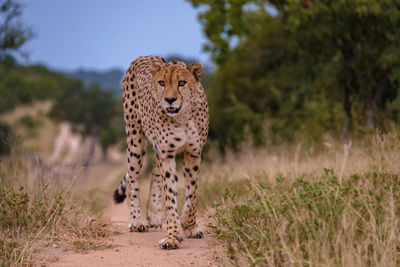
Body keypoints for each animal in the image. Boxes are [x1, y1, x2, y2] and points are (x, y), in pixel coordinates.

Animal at [111, 55, 208, 250]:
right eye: (162, 83)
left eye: (182, 83)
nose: (169, 100)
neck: (183, 117)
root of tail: (143, 57)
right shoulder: (168, 153)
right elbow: (170, 195)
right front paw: (173, 235)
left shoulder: (193, 153)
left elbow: (192, 193)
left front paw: (189, 225)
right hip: (135, 139)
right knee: (133, 179)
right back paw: (136, 220)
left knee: (155, 170)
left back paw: (154, 213)